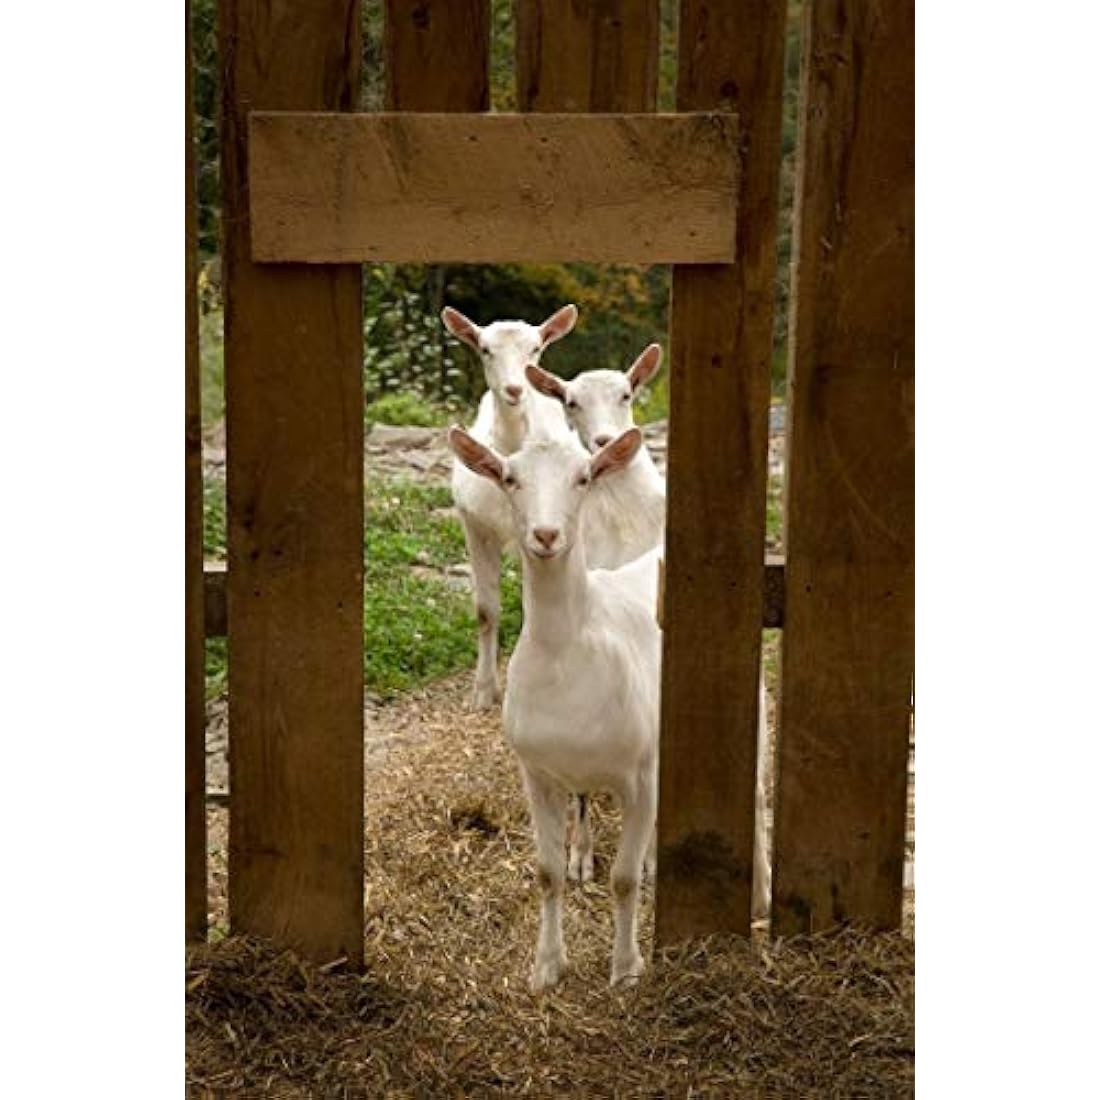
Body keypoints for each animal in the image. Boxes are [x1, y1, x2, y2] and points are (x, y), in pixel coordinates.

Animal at [442, 304, 577, 710]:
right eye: (485, 349)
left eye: (535, 348)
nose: (516, 389)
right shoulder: (474, 524)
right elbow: (486, 610)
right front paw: (484, 691)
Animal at [449, 425, 660, 990]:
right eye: (508, 477)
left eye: (583, 477)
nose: (545, 535)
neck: (568, 652)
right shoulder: (537, 774)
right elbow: (546, 875)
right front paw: (546, 968)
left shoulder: (639, 775)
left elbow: (624, 880)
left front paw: (625, 970)